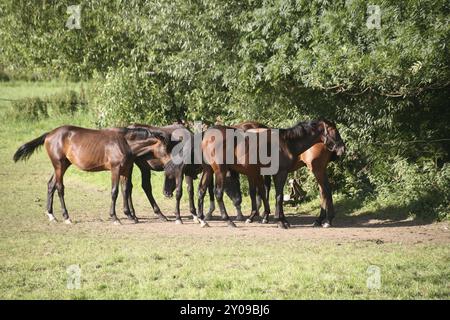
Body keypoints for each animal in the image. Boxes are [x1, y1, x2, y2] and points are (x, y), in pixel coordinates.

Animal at [14, 126, 169, 224]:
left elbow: (125, 190)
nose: (168, 164)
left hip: (62, 165)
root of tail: (49, 134)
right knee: (59, 187)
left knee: (51, 185)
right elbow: (115, 192)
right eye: (165, 149)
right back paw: (66, 217)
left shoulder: (125, 170)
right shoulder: (115, 169)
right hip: (59, 165)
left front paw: (130, 216)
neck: (124, 143)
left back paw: (51, 215)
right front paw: (115, 218)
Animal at [196, 119, 342, 228]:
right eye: (334, 131)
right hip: (219, 170)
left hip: (209, 170)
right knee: (217, 193)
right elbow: (277, 195)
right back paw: (227, 220)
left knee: (202, 190)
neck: (286, 143)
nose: (341, 148)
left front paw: (272, 218)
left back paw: (202, 220)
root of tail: (207, 137)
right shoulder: (278, 173)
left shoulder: (261, 173)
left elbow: (265, 193)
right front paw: (280, 221)